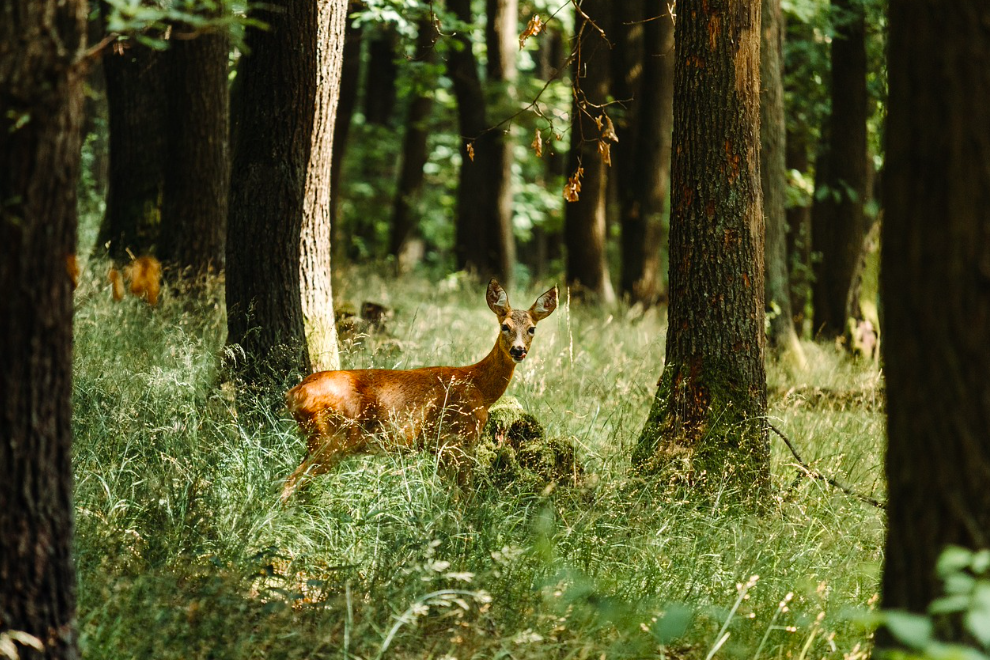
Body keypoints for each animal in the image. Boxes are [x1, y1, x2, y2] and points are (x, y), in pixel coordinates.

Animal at [280, 278, 560, 500]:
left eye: (531, 329)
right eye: (505, 326)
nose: (518, 350)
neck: (480, 388)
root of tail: (293, 394)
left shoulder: (440, 448)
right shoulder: (455, 440)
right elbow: (464, 496)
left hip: (321, 440)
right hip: (330, 438)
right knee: (289, 483)